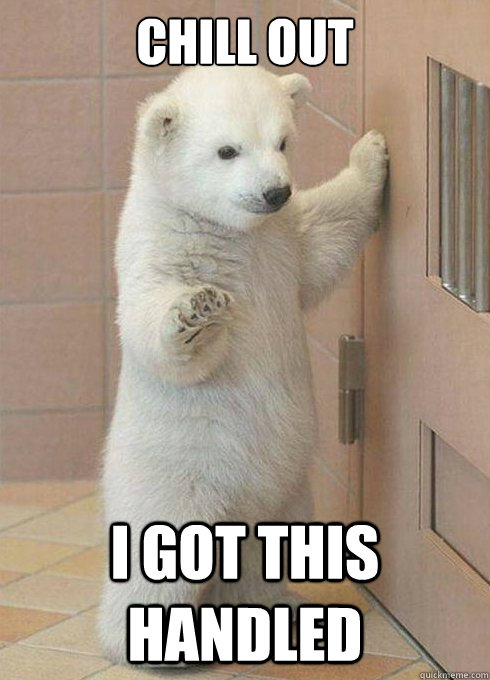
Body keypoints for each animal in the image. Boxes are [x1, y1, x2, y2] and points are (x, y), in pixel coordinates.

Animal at [98, 64, 388, 665]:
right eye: (226, 150)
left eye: (282, 142)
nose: (275, 191)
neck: (223, 233)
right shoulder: (156, 251)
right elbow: (152, 328)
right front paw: (196, 312)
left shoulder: (281, 244)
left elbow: (324, 234)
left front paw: (371, 152)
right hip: (174, 480)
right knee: (155, 573)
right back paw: (145, 642)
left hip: (288, 488)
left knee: (264, 549)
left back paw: (280, 610)